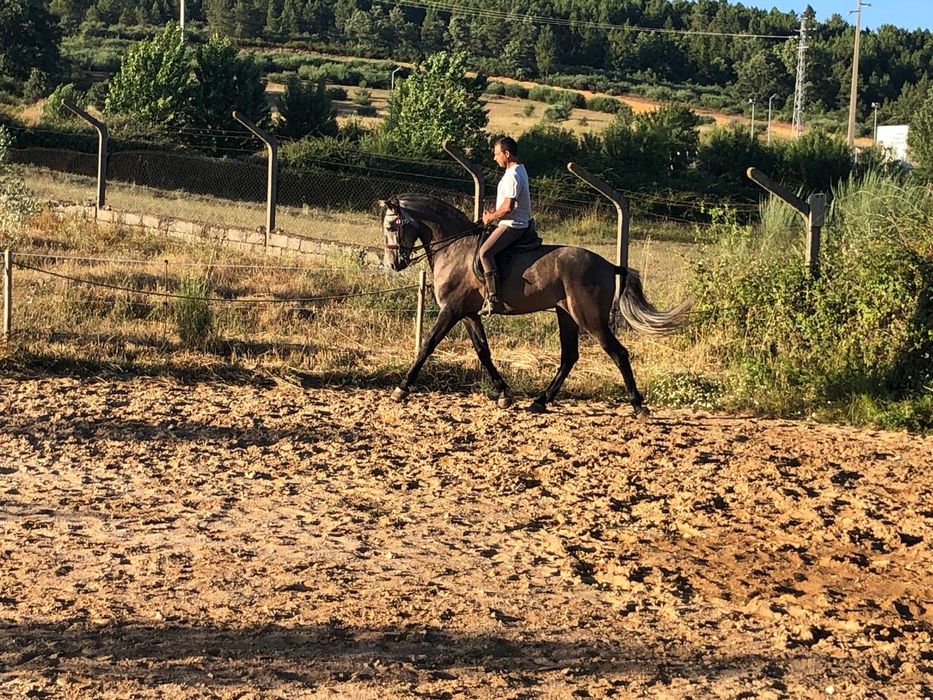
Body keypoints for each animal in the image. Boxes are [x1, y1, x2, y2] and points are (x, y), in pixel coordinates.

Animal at [379, 193, 690, 417]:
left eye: (391, 226)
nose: (395, 263)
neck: (455, 249)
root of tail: (609, 265)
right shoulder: (468, 314)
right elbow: (483, 352)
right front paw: (504, 394)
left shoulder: (452, 310)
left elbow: (428, 345)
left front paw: (401, 389)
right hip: (566, 315)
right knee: (569, 357)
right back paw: (540, 401)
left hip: (589, 318)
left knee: (618, 353)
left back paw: (638, 406)